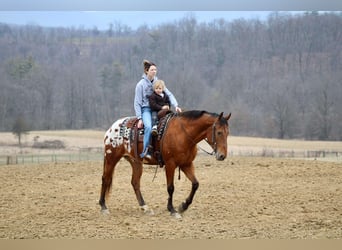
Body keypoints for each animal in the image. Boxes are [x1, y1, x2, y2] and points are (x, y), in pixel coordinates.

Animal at [99, 110, 232, 218]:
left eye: (227, 133)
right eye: (219, 132)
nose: (222, 156)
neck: (183, 134)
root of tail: (112, 128)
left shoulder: (186, 164)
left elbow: (195, 184)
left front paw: (183, 206)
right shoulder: (170, 164)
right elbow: (170, 187)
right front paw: (172, 210)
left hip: (136, 162)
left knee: (135, 182)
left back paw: (145, 207)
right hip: (111, 158)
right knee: (106, 178)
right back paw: (103, 207)